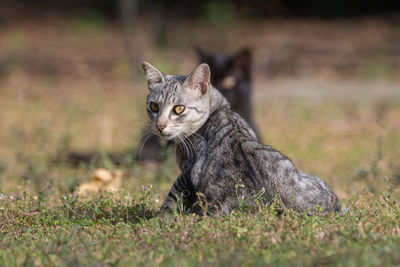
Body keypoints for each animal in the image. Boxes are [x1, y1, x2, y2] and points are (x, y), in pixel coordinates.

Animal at [141, 61, 340, 216]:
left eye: (178, 109)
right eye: (154, 106)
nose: (160, 125)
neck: (218, 111)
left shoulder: (186, 173)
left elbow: (173, 197)